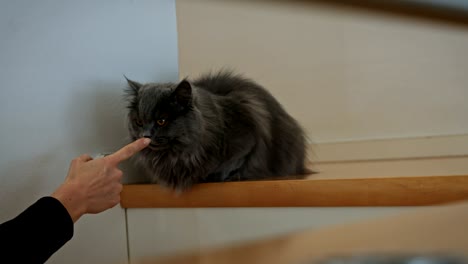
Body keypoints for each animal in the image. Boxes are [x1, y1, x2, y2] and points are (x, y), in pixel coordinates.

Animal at [123, 70, 310, 190]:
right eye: (139, 122)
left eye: (161, 121)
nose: (145, 135)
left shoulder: (249, 132)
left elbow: (233, 163)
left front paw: (213, 176)